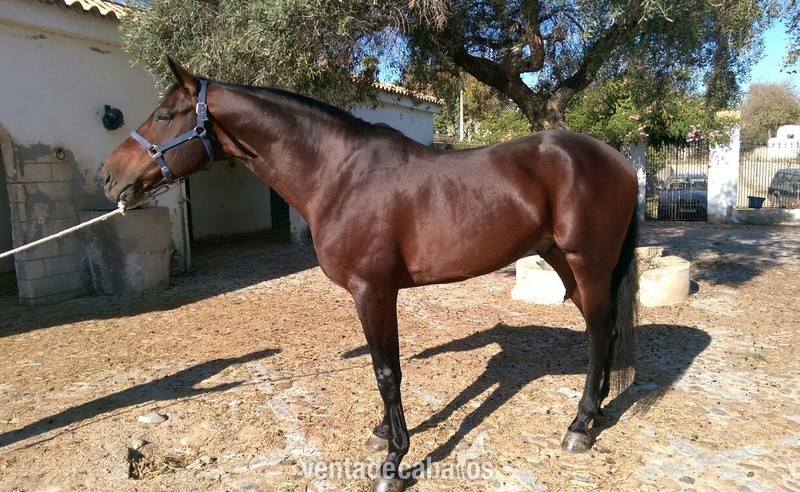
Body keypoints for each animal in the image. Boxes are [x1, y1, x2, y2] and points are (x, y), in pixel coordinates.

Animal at [101, 58, 639, 492]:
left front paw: (394, 463)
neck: (339, 175)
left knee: (599, 333)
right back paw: (597, 414)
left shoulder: (372, 291)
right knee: (607, 330)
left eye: (164, 115)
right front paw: (385, 434)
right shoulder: (381, 294)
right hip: (565, 263)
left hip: (588, 263)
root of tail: (618, 160)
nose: (109, 176)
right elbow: (388, 368)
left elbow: (386, 372)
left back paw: (579, 426)